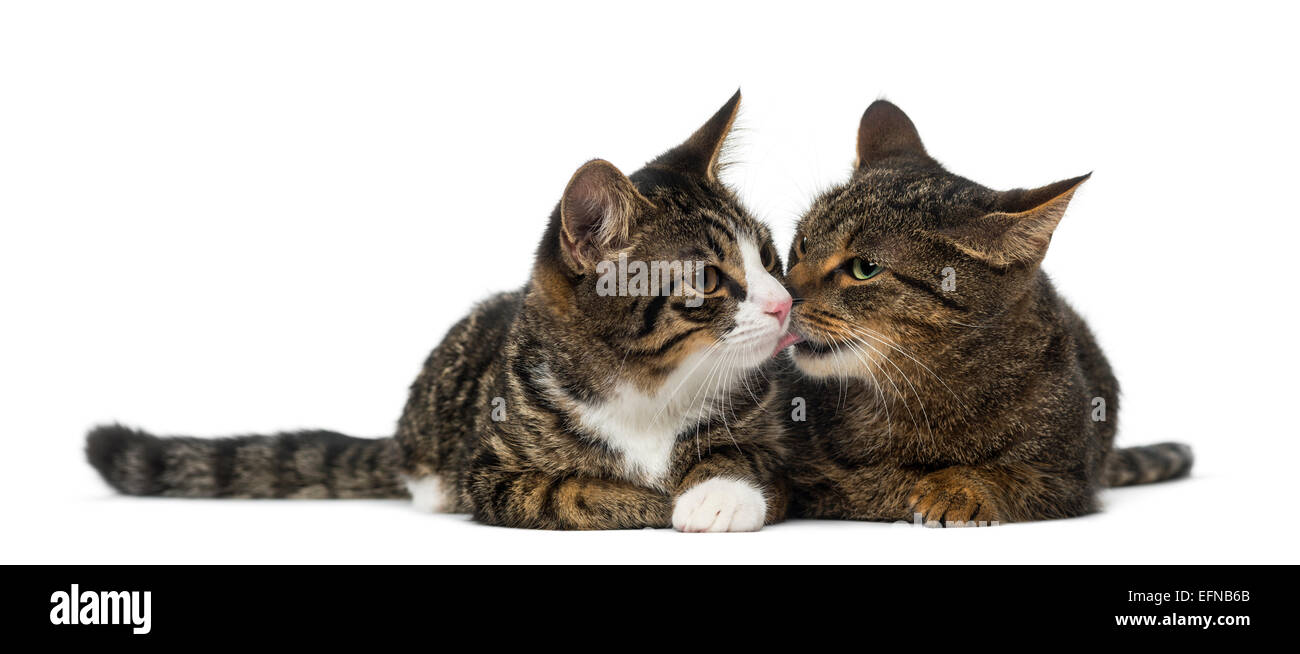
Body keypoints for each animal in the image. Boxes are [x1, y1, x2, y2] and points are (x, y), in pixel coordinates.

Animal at [89, 92, 790, 533]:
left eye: (769, 257)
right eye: (708, 279)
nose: (785, 304)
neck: (650, 392)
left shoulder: (771, 436)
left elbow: (752, 460)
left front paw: (718, 492)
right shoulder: (496, 474)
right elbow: (574, 492)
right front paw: (659, 498)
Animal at [774, 100, 1190, 525]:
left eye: (864, 268)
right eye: (803, 244)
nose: (784, 293)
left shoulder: (1067, 479)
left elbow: (1005, 474)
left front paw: (956, 486)